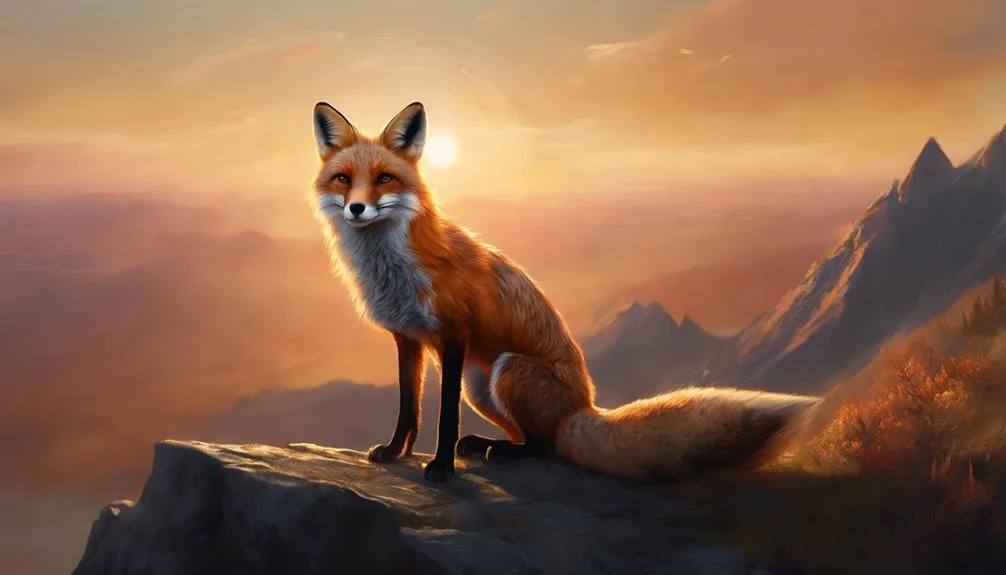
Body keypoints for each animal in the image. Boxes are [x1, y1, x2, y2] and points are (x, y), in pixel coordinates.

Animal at [309, 100, 822, 482]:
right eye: (343, 179)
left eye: (384, 178)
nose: (356, 209)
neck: (391, 268)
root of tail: (583, 407)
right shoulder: (409, 338)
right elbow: (407, 409)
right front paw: (396, 452)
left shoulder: (454, 335)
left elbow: (444, 415)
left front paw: (440, 467)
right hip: (482, 383)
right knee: (541, 442)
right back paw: (490, 445)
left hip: (504, 370)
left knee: (547, 446)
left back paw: (498, 451)